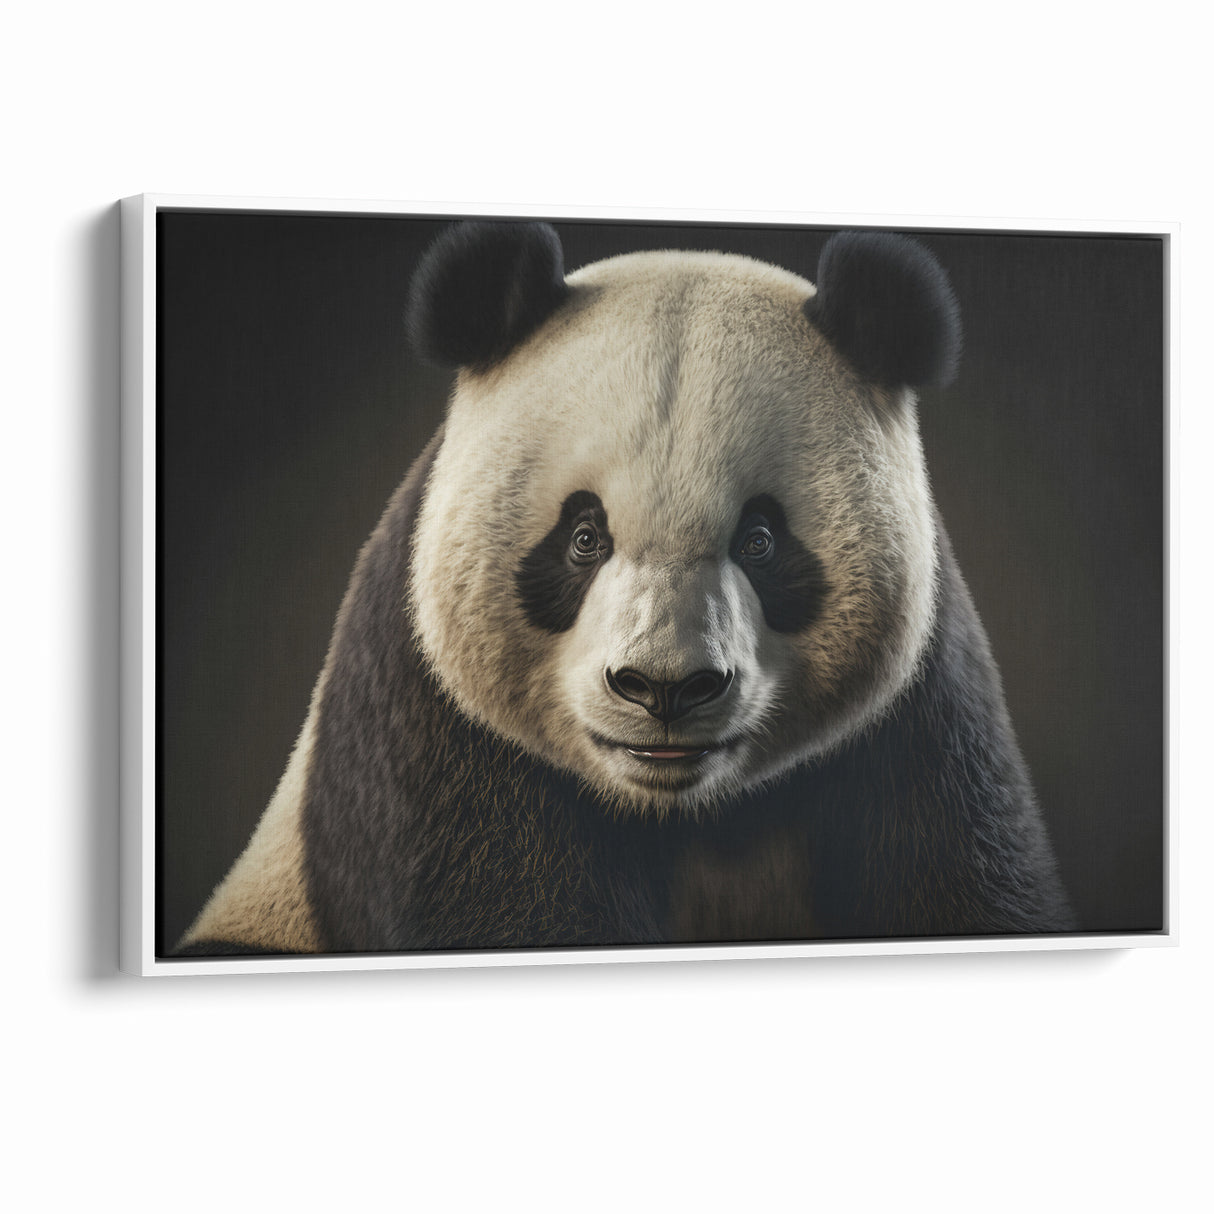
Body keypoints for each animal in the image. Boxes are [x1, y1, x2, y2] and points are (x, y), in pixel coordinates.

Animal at [177, 220, 1075, 956]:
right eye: (584, 538)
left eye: (760, 541)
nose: (665, 688)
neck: (683, 816)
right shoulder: (430, 721)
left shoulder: (921, 721)